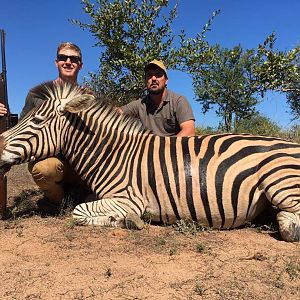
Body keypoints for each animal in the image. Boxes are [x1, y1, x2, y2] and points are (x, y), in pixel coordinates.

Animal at [0, 82, 298, 241]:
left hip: (279, 182)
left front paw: (129, 221)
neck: (113, 153)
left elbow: (79, 212)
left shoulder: (129, 198)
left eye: (37, 120)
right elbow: (82, 206)